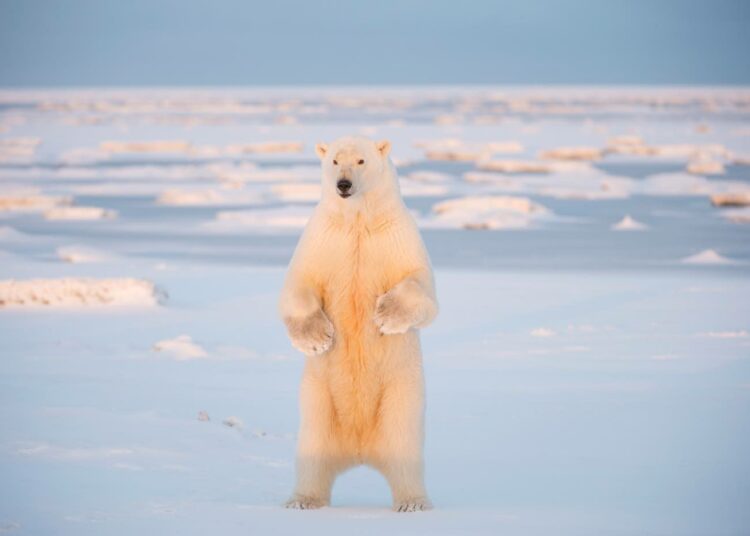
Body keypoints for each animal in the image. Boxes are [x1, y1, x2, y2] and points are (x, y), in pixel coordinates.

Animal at [280, 136, 438, 512]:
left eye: (362, 160)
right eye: (335, 161)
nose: (343, 185)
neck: (357, 221)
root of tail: (360, 451)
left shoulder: (396, 236)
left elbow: (421, 286)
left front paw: (385, 315)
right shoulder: (323, 238)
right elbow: (298, 284)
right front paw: (318, 339)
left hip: (401, 395)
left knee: (405, 450)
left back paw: (413, 502)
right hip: (318, 402)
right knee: (312, 453)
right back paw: (302, 500)